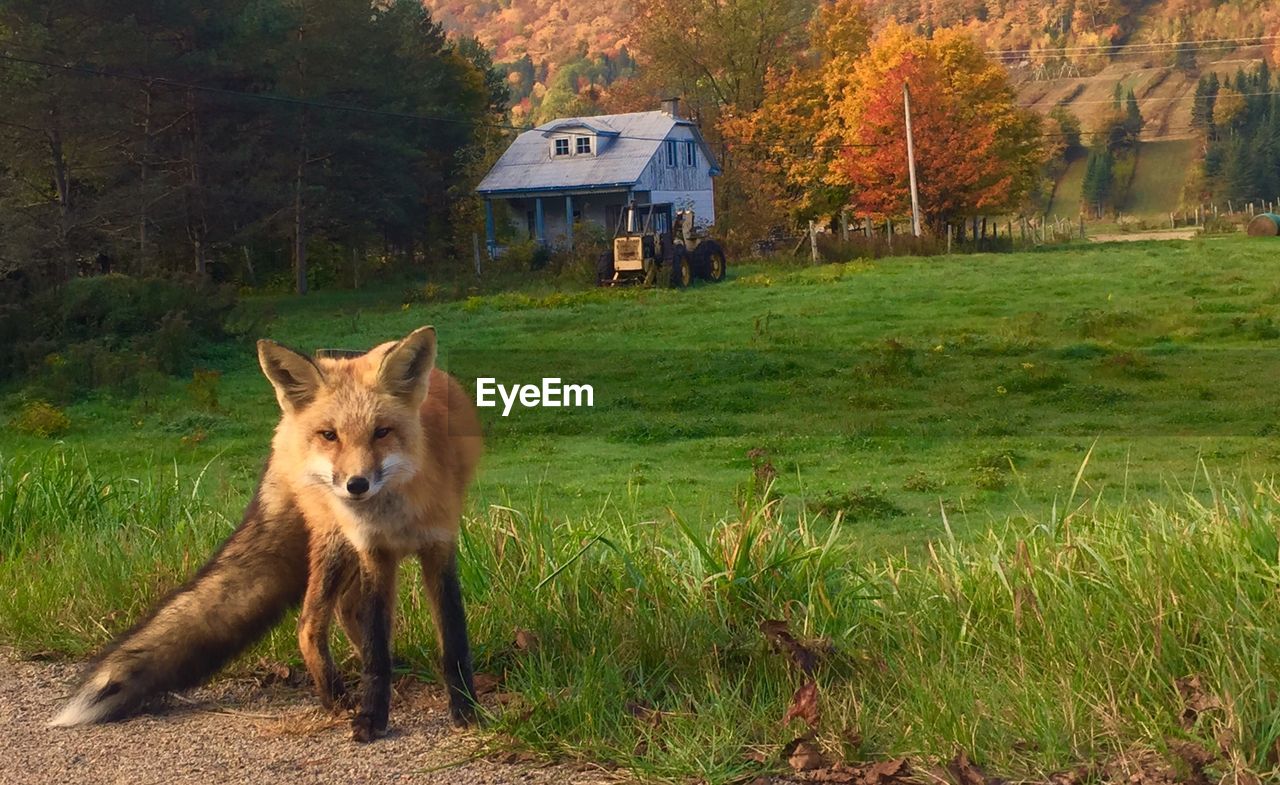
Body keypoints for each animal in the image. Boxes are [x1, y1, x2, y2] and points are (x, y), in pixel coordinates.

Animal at [48, 323, 481, 742]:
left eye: (382, 432)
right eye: (330, 435)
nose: (356, 485)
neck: (396, 514)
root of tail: (284, 426)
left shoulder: (438, 546)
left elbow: (453, 640)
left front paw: (467, 711)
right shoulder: (373, 550)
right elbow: (376, 652)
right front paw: (372, 717)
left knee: (344, 610)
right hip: (334, 540)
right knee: (310, 623)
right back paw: (336, 699)